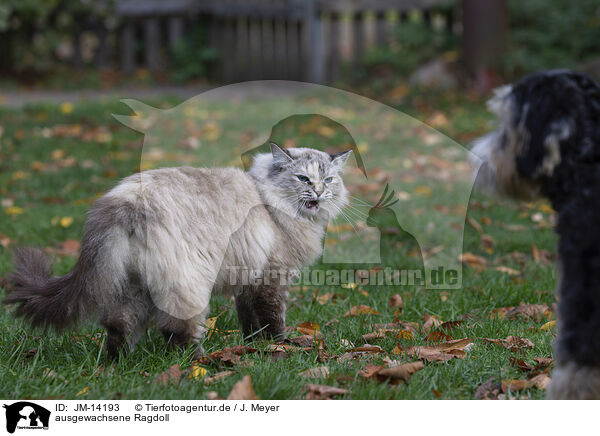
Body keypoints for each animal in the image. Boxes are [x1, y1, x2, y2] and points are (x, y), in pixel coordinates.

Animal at [3, 143, 352, 358]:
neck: (267, 201)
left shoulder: (248, 281)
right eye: (303, 178)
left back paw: (116, 365)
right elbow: (272, 320)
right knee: (177, 330)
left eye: (329, 179)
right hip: (186, 285)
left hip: (130, 286)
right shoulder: (272, 278)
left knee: (118, 326)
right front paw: (280, 348)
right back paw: (198, 365)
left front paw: (255, 348)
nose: (318, 193)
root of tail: (125, 203)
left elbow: (250, 323)